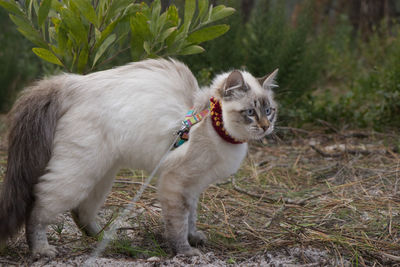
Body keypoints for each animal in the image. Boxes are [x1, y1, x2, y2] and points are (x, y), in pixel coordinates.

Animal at [0, 58, 278, 258]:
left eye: (269, 111)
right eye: (250, 112)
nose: (266, 127)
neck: (211, 124)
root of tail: (71, 83)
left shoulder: (192, 188)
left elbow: (191, 217)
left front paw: (194, 238)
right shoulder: (176, 183)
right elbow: (179, 223)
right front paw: (185, 251)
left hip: (102, 175)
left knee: (81, 212)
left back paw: (106, 238)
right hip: (78, 174)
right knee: (38, 208)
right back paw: (42, 250)